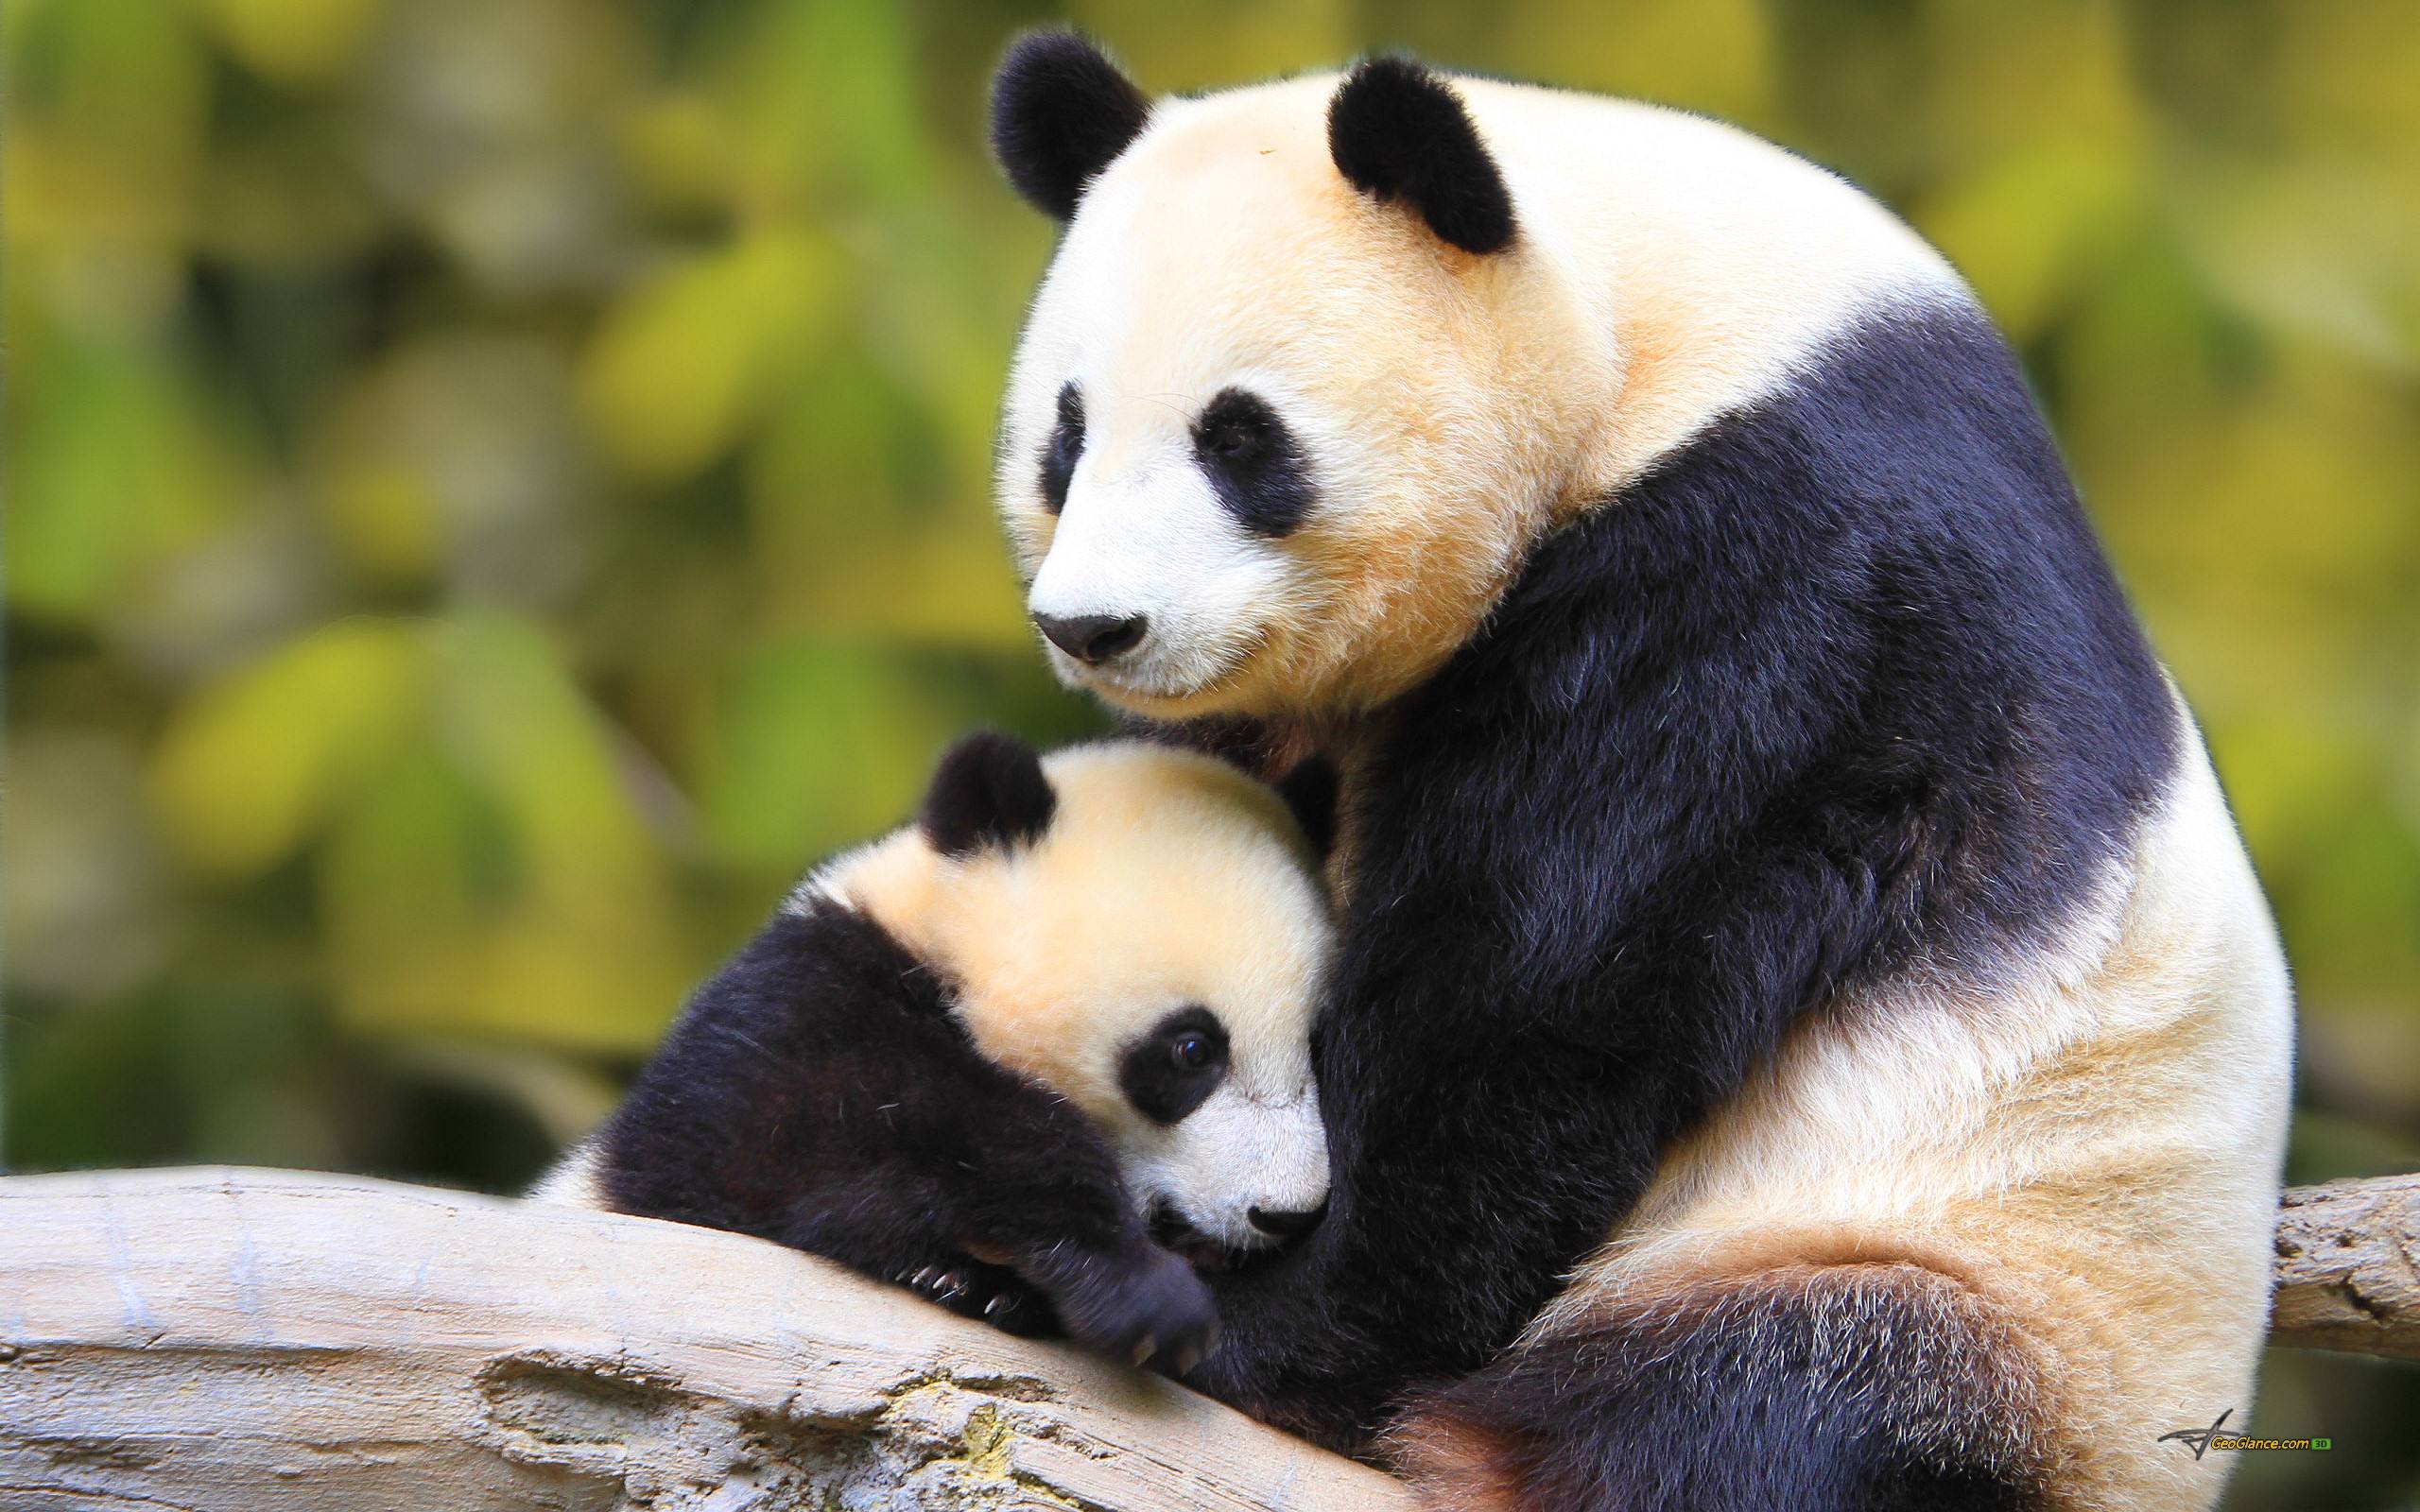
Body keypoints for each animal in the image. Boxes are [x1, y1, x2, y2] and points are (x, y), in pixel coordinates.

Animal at [535, 732, 1337, 1374]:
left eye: (1315, 1044)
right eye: (1193, 1051)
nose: (1286, 1214)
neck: (942, 951)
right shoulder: (789, 1012)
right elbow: (799, 1148)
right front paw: (1139, 1291)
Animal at [985, 34, 2294, 1512]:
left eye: (1240, 439)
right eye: (1067, 434)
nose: (1095, 627)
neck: (1652, 325)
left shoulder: (1774, 573)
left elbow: (1534, 997)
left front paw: (1242, 1321)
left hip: (1985, 1273)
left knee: (1776, 1405)